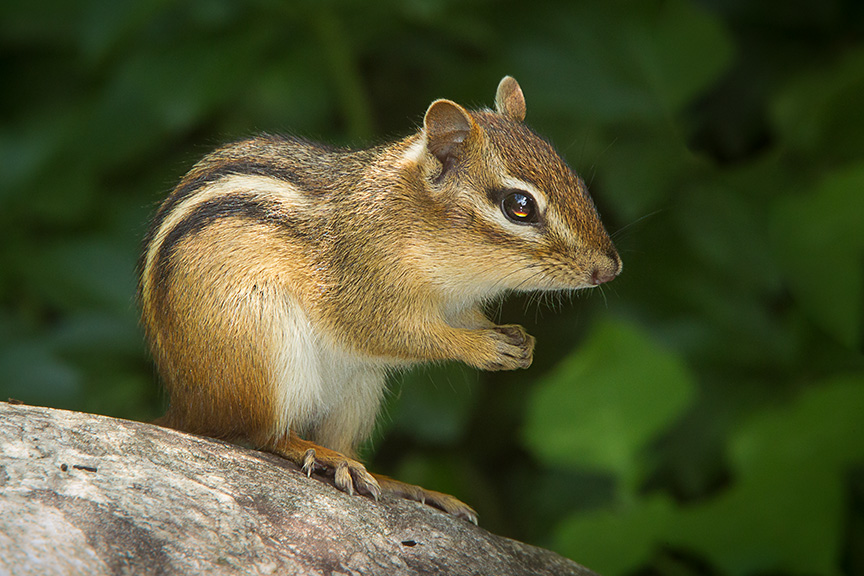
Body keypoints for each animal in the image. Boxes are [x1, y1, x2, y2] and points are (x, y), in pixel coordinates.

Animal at [138, 76, 621, 524]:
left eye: (575, 179)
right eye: (519, 205)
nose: (610, 269)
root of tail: (187, 406)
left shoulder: (454, 304)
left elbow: (469, 318)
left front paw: (521, 340)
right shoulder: (363, 287)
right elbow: (399, 333)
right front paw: (484, 347)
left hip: (359, 390)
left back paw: (400, 483)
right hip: (263, 346)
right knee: (260, 435)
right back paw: (319, 455)